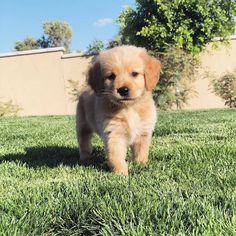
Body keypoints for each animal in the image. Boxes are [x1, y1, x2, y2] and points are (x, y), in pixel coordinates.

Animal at [75, 45, 160, 175]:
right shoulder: (114, 133)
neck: (129, 108)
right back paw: (85, 158)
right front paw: (120, 173)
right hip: (82, 125)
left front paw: (141, 165)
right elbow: (116, 156)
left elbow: (141, 151)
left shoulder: (143, 132)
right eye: (111, 76)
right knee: (84, 141)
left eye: (134, 73)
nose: (123, 90)